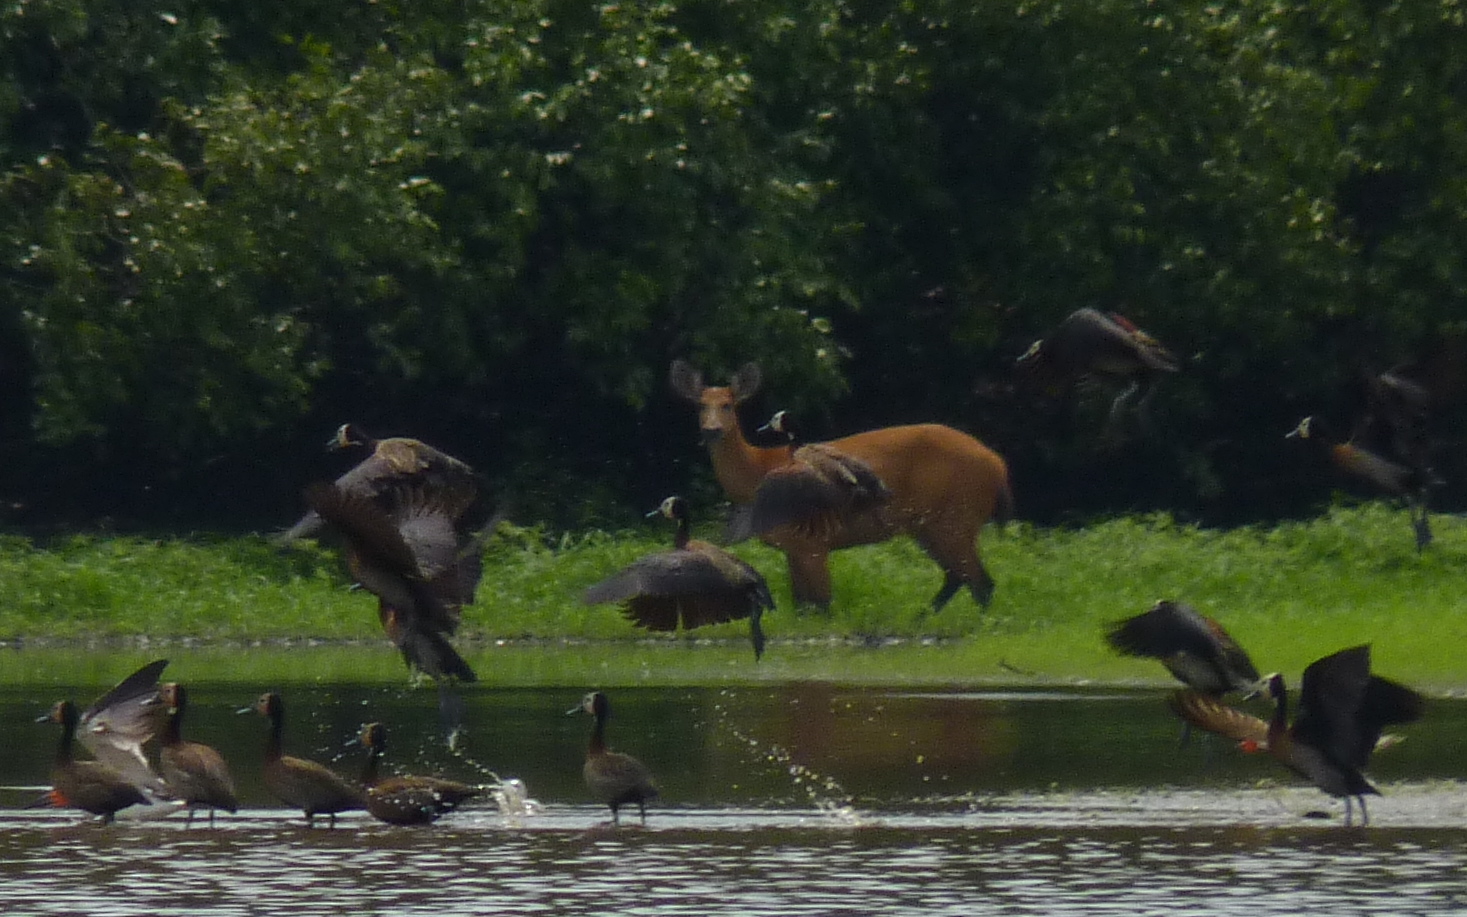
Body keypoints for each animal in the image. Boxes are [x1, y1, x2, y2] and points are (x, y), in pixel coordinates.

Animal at [669, 360, 1014, 611]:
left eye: (728, 405)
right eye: (700, 405)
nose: (711, 430)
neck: (758, 469)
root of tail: (999, 466)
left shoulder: (812, 543)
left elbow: (822, 605)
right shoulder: (791, 548)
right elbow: (801, 606)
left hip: (957, 515)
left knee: (980, 581)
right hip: (929, 526)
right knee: (958, 577)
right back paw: (922, 617)